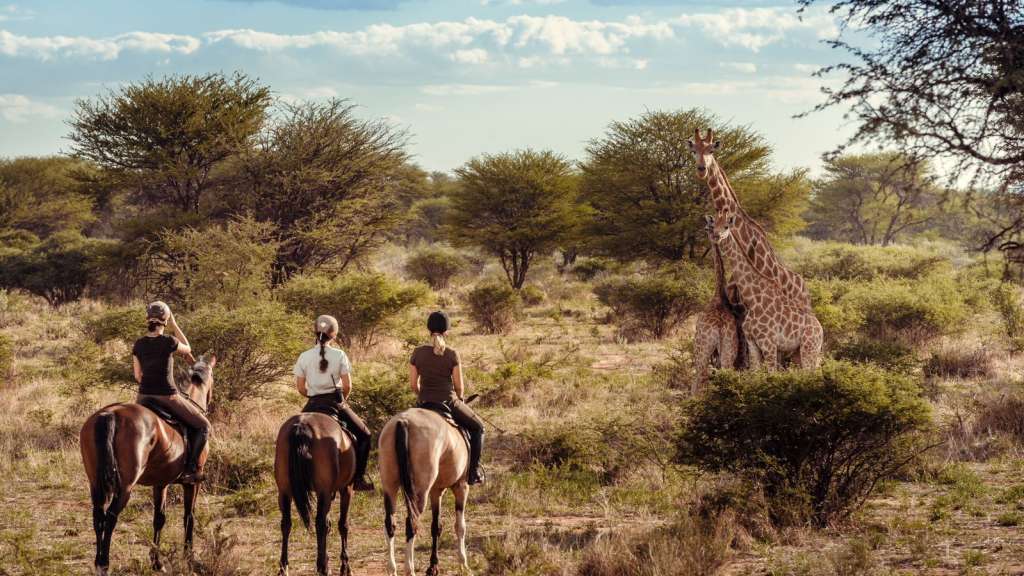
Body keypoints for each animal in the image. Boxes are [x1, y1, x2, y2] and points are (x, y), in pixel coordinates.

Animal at [693, 223, 746, 393]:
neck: (718, 296)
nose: (715, 236)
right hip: (728, 351)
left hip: (702, 349)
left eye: (706, 228)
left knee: (700, 379)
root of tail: (719, 327)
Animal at [708, 214, 822, 371]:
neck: (752, 300)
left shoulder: (768, 343)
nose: (716, 236)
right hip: (798, 353)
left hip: (809, 348)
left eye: (726, 226)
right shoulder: (752, 342)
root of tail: (821, 330)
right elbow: (755, 372)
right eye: (714, 226)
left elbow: (771, 372)